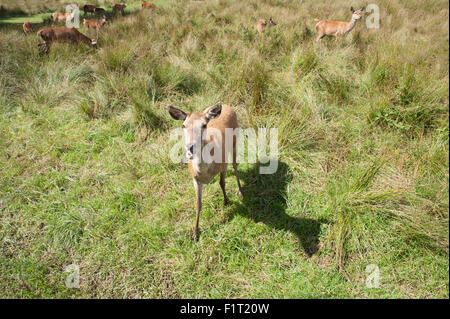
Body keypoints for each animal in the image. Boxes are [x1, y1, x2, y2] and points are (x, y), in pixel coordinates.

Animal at [169, 102, 244, 240]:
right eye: (183, 125)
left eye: (204, 125)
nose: (190, 147)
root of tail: (227, 105)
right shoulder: (195, 179)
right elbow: (198, 204)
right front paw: (195, 233)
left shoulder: (223, 165)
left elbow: (222, 183)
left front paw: (226, 201)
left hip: (235, 140)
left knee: (235, 165)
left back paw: (240, 191)